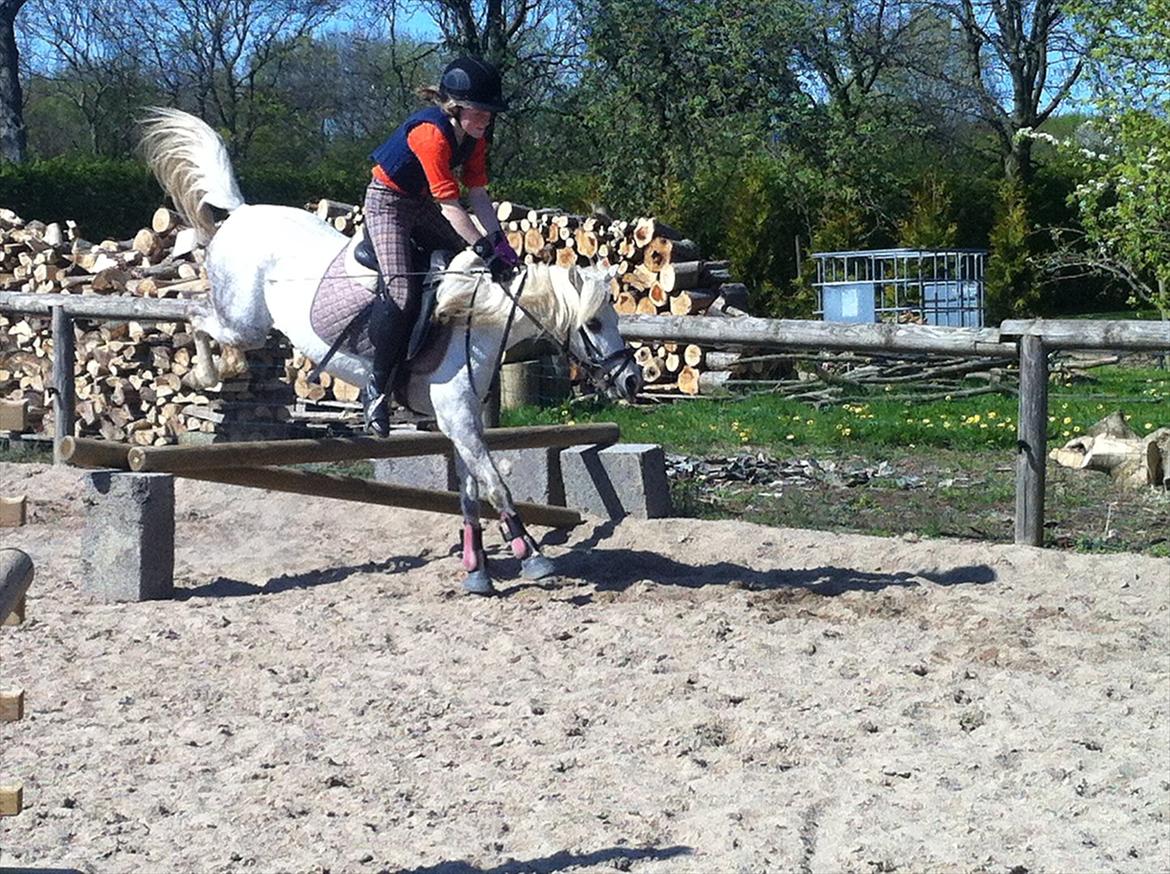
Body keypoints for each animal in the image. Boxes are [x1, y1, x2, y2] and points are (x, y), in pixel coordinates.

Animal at [141, 104, 645, 594]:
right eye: (593, 323)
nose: (631, 379)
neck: (476, 315)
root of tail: (242, 212)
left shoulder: (462, 418)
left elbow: (471, 491)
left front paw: (476, 568)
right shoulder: (458, 416)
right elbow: (495, 485)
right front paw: (531, 554)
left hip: (249, 324)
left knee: (206, 321)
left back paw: (221, 370)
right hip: (244, 320)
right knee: (195, 312)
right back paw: (205, 373)